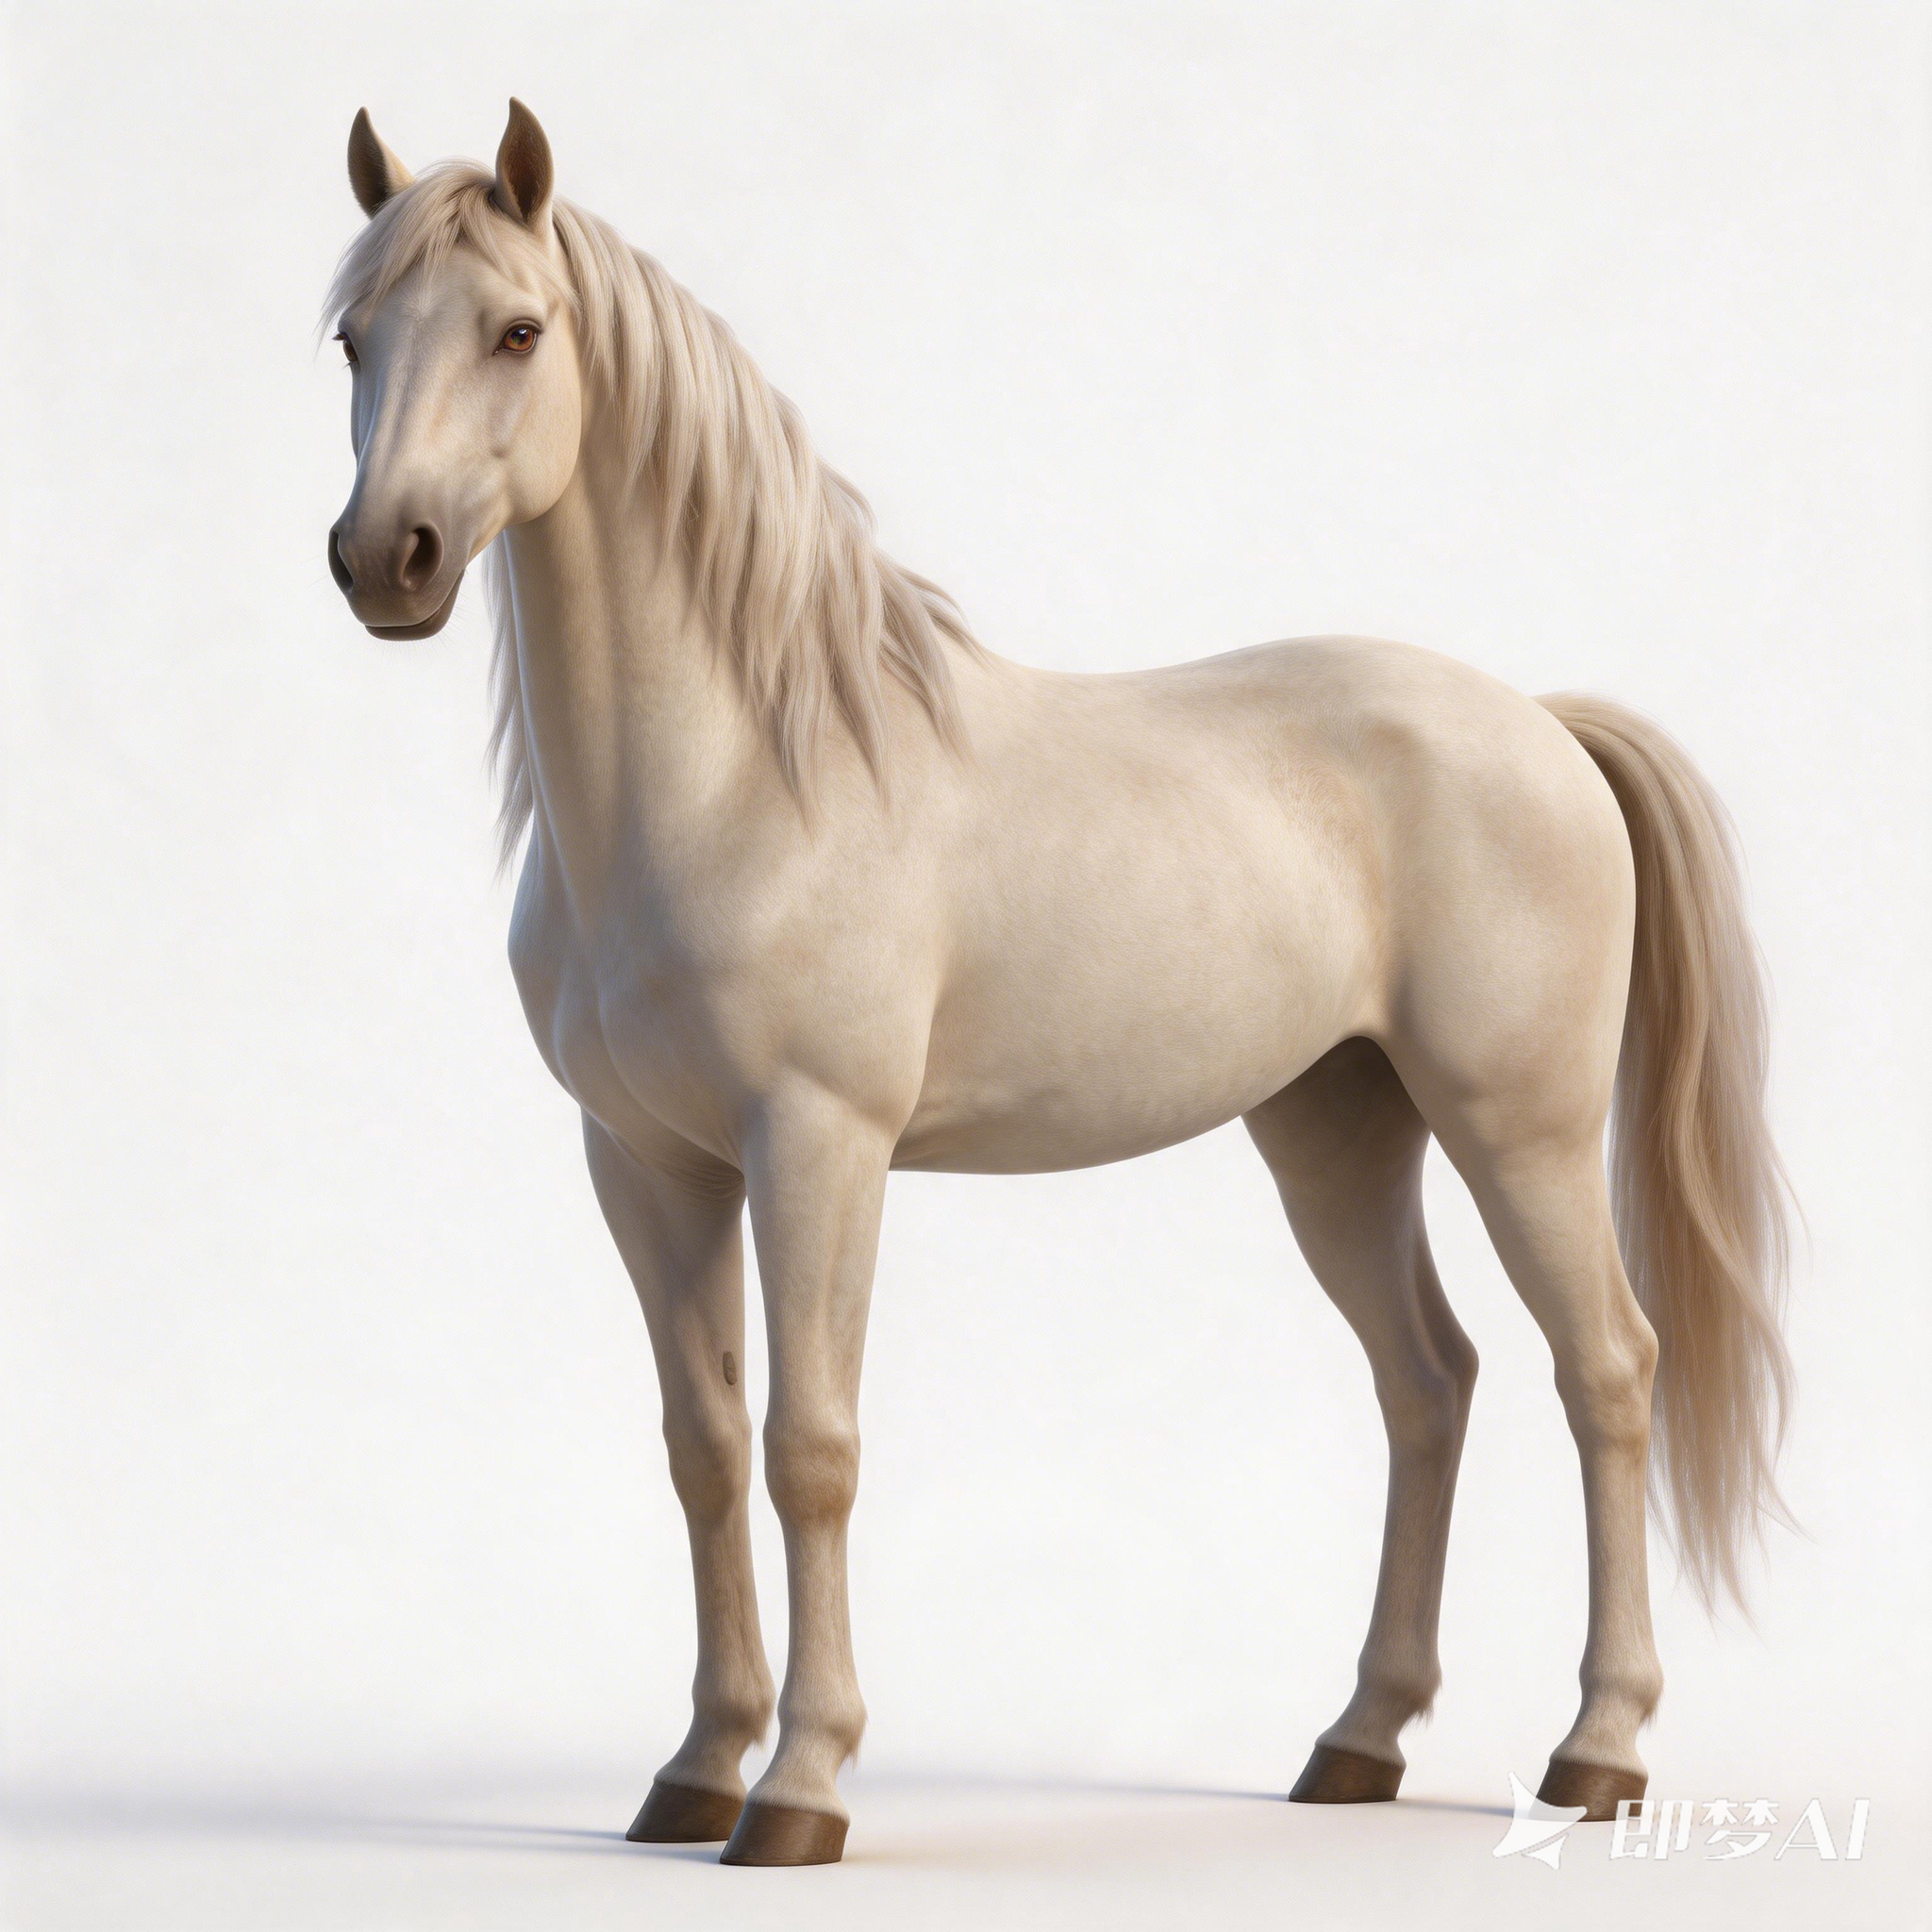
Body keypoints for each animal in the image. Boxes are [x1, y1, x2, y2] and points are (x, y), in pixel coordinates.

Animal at [324, 101, 1793, 1866]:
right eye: (350, 338)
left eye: (519, 331)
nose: (384, 560)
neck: (747, 774)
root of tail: (1537, 722)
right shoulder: (649, 1164)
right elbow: (704, 1449)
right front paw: (695, 1771)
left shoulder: (816, 1147)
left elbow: (809, 1449)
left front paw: (799, 1789)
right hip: (1337, 1136)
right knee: (1428, 1381)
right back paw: (1356, 1741)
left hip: (1519, 1129)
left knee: (1608, 1374)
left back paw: (1596, 1751)